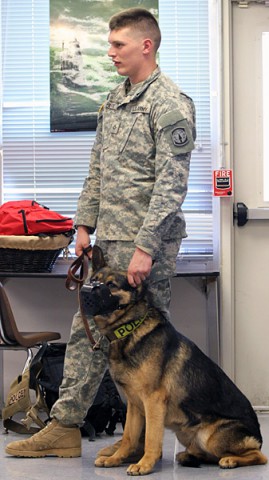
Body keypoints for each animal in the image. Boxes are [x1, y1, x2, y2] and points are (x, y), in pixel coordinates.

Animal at [80, 248, 266, 476]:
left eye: (111, 285)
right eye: (93, 280)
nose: (85, 292)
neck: (130, 328)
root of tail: (258, 437)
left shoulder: (153, 401)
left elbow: (151, 438)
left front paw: (144, 464)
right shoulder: (134, 405)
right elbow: (128, 438)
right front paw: (116, 459)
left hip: (212, 437)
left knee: (258, 456)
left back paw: (230, 459)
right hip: (185, 433)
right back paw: (189, 456)